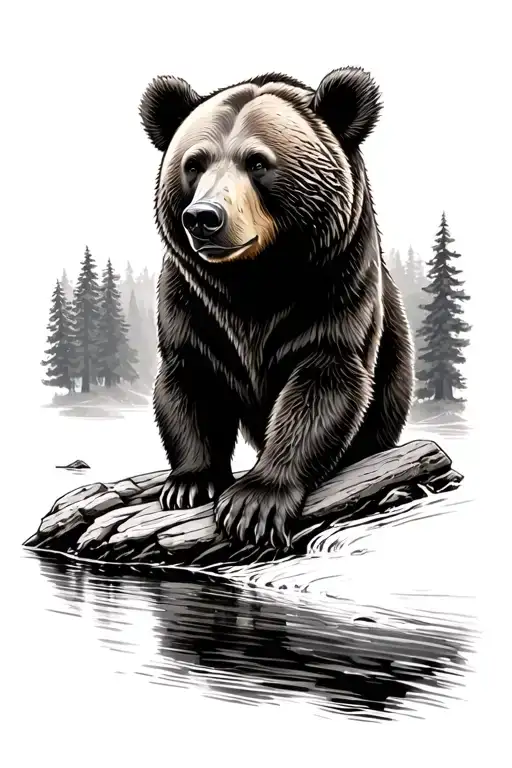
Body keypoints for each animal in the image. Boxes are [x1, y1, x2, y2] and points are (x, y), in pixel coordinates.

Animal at [139, 68, 414, 548]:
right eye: (194, 164)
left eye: (257, 162)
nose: (203, 217)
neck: (255, 281)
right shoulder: (192, 303)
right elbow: (190, 378)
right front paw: (189, 482)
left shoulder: (335, 287)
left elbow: (323, 382)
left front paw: (255, 501)